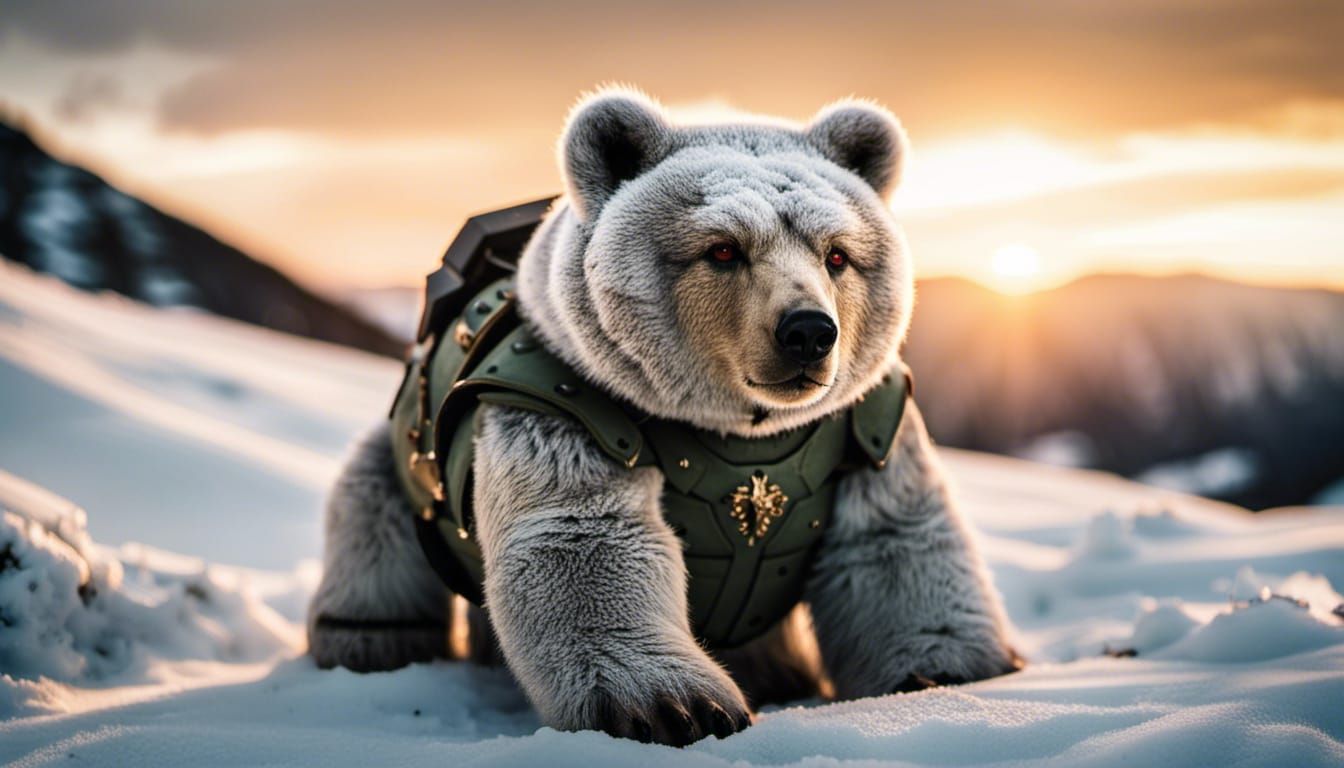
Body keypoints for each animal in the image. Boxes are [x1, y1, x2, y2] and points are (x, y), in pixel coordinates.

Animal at [306, 88, 1021, 747]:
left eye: (837, 253)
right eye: (724, 248)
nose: (809, 332)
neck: (743, 432)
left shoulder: (867, 425)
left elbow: (899, 542)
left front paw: (945, 674)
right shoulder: (570, 408)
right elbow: (584, 541)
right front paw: (677, 708)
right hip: (402, 469)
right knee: (372, 530)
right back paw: (369, 640)